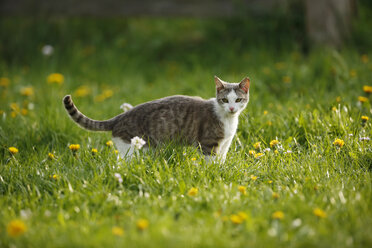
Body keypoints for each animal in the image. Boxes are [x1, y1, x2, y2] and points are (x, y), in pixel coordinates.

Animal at [63, 76, 250, 162]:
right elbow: (211, 161)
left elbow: (221, 159)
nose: (232, 108)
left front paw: (221, 170)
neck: (228, 120)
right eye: (224, 100)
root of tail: (121, 116)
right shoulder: (208, 143)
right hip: (132, 147)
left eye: (238, 100)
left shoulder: (225, 143)